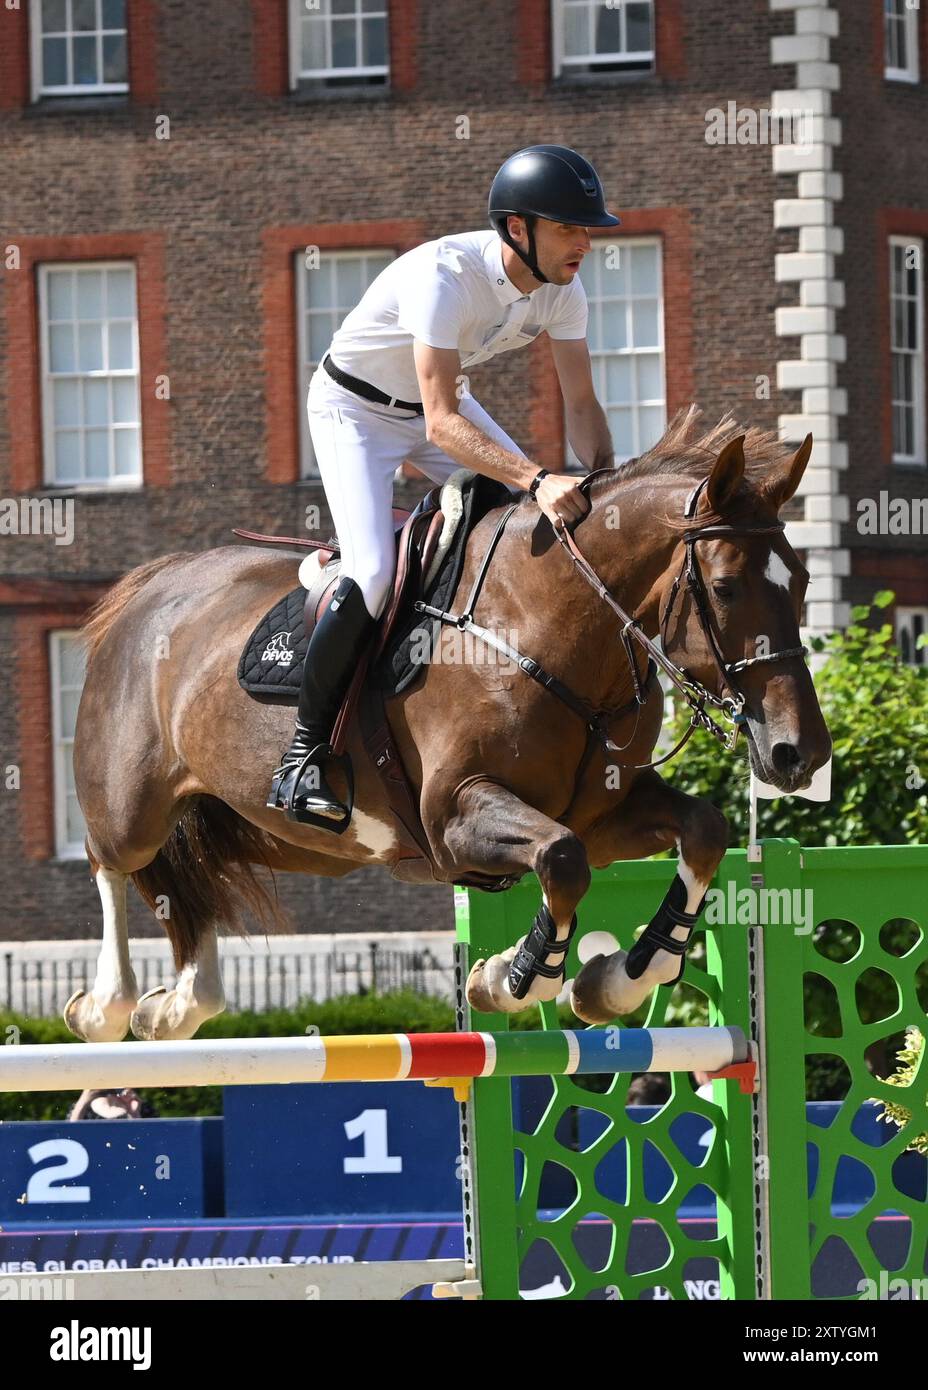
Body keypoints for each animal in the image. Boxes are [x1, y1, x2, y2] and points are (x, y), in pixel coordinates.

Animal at [67, 411, 833, 1045]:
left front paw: (617, 982)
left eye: (800, 582)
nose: (799, 752)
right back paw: (108, 1005)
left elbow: (701, 832)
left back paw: (179, 1004)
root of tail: (150, 586)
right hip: (134, 803)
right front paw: (512, 979)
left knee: (189, 883)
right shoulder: (456, 815)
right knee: (115, 860)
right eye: (726, 587)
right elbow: (562, 861)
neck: (546, 627)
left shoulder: (602, 814)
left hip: (268, 829)